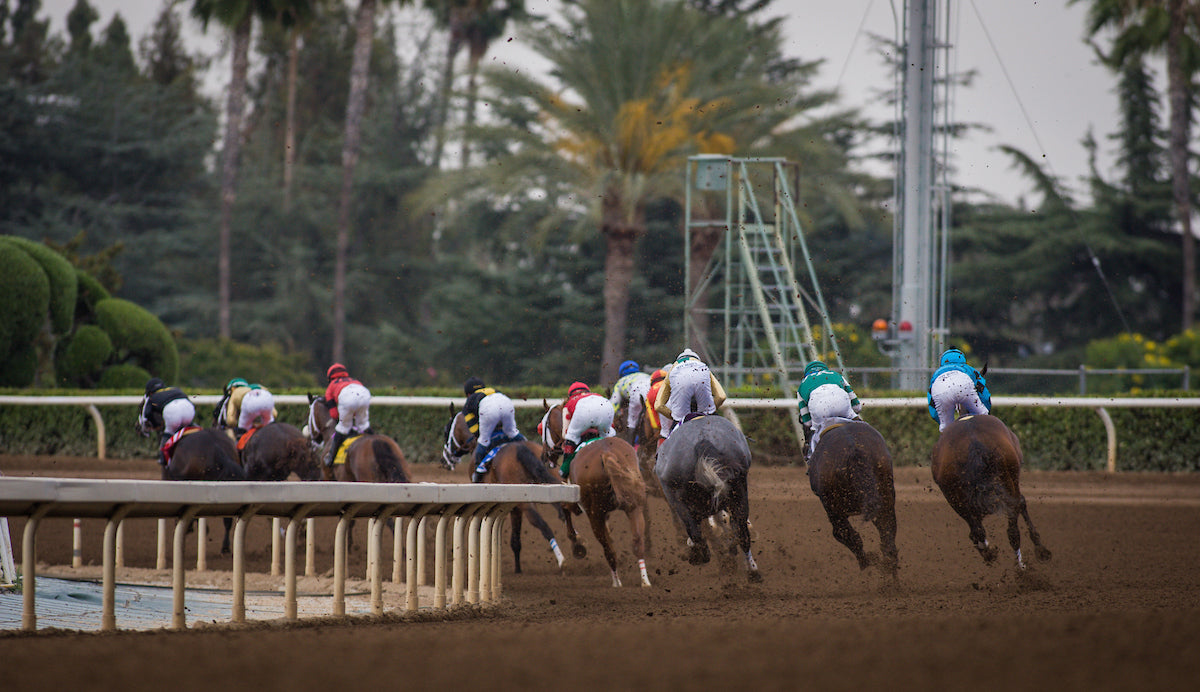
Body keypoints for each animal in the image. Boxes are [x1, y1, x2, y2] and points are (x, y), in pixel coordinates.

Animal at [446, 405, 585, 570]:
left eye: (447, 431)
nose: (445, 458)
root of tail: (520, 450)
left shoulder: (514, 505)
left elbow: (515, 539)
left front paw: (517, 568)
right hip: (551, 483)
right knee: (562, 510)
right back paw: (577, 542)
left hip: (524, 500)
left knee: (541, 523)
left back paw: (561, 558)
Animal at [566, 434, 652, 585]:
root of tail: (606, 454)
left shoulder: (576, 503)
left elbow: (564, 506)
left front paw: (577, 544)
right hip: (634, 506)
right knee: (637, 541)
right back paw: (645, 581)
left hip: (594, 516)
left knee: (609, 551)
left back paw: (617, 583)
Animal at [652, 412, 763, 580]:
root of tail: (702, 440)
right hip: (739, 487)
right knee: (741, 529)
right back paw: (751, 569)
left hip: (678, 498)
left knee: (696, 532)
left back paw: (700, 554)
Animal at [806, 417, 902, 575]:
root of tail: (854, 450)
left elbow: (845, 535)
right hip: (884, 497)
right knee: (888, 538)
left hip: (834, 508)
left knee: (846, 534)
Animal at [926, 412, 1051, 568]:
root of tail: (974, 444)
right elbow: (1021, 504)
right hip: (1007, 476)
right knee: (1012, 524)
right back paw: (1022, 564)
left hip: (957, 496)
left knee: (979, 530)